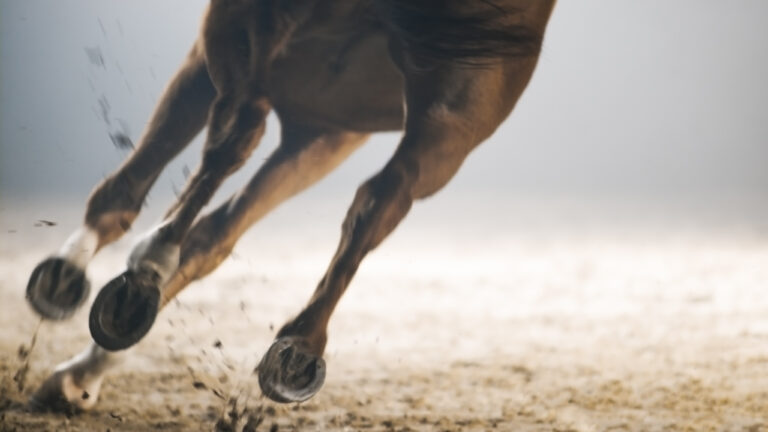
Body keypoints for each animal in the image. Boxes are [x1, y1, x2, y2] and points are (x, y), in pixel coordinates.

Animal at [25, 0, 556, 411]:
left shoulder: (250, 79)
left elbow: (136, 191)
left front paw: (71, 281)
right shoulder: (325, 129)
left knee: (244, 143)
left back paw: (142, 283)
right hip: (448, 116)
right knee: (371, 196)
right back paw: (292, 345)